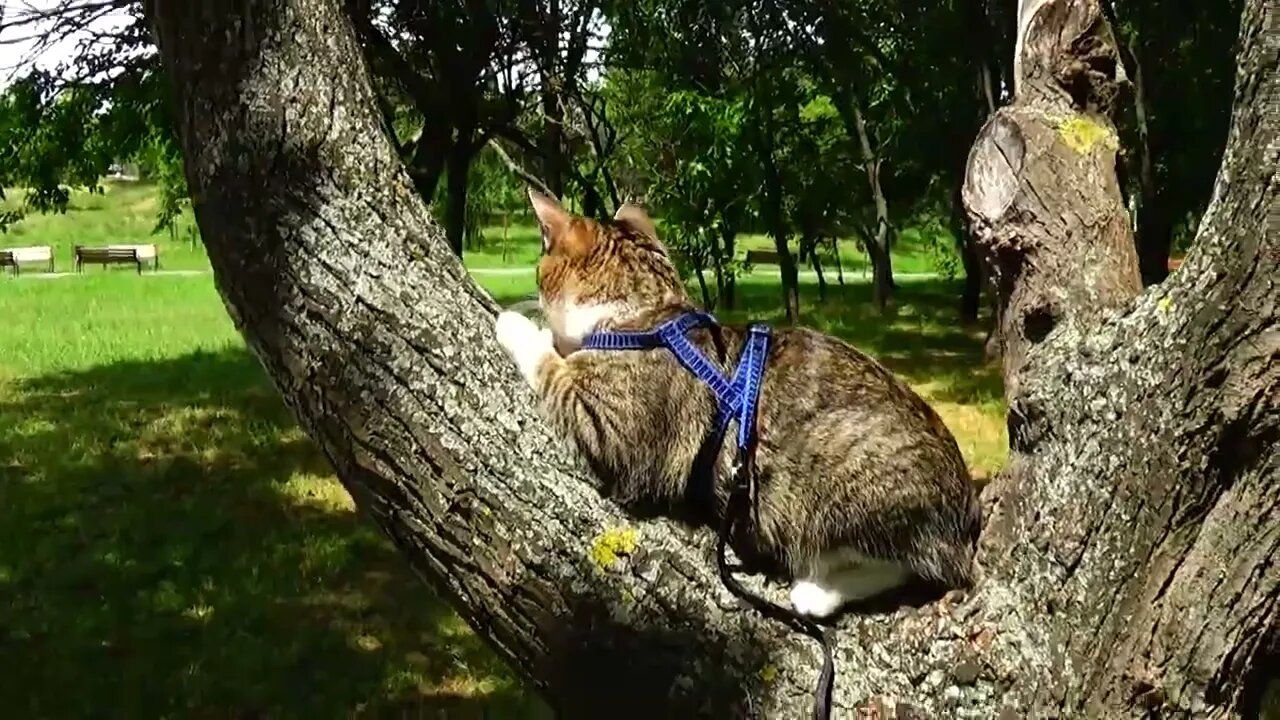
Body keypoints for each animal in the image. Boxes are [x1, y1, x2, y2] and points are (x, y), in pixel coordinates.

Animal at [488, 190, 977, 617]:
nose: (531, 293)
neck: (646, 314)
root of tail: (965, 515)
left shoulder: (614, 436)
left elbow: (552, 369)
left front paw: (518, 323)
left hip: (836, 476)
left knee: (919, 568)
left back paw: (816, 590)